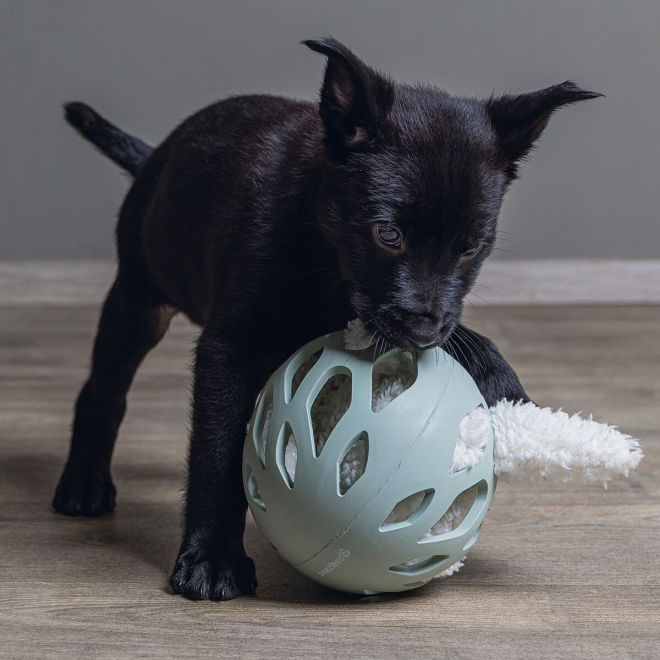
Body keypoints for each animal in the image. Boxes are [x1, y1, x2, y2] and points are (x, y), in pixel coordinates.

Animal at [54, 38, 600, 600]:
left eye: (471, 248)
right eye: (387, 234)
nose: (425, 331)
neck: (319, 241)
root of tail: (155, 158)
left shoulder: (373, 314)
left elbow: (456, 331)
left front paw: (503, 383)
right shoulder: (230, 346)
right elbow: (217, 450)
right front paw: (211, 559)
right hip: (139, 300)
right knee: (102, 392)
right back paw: (84, 483)